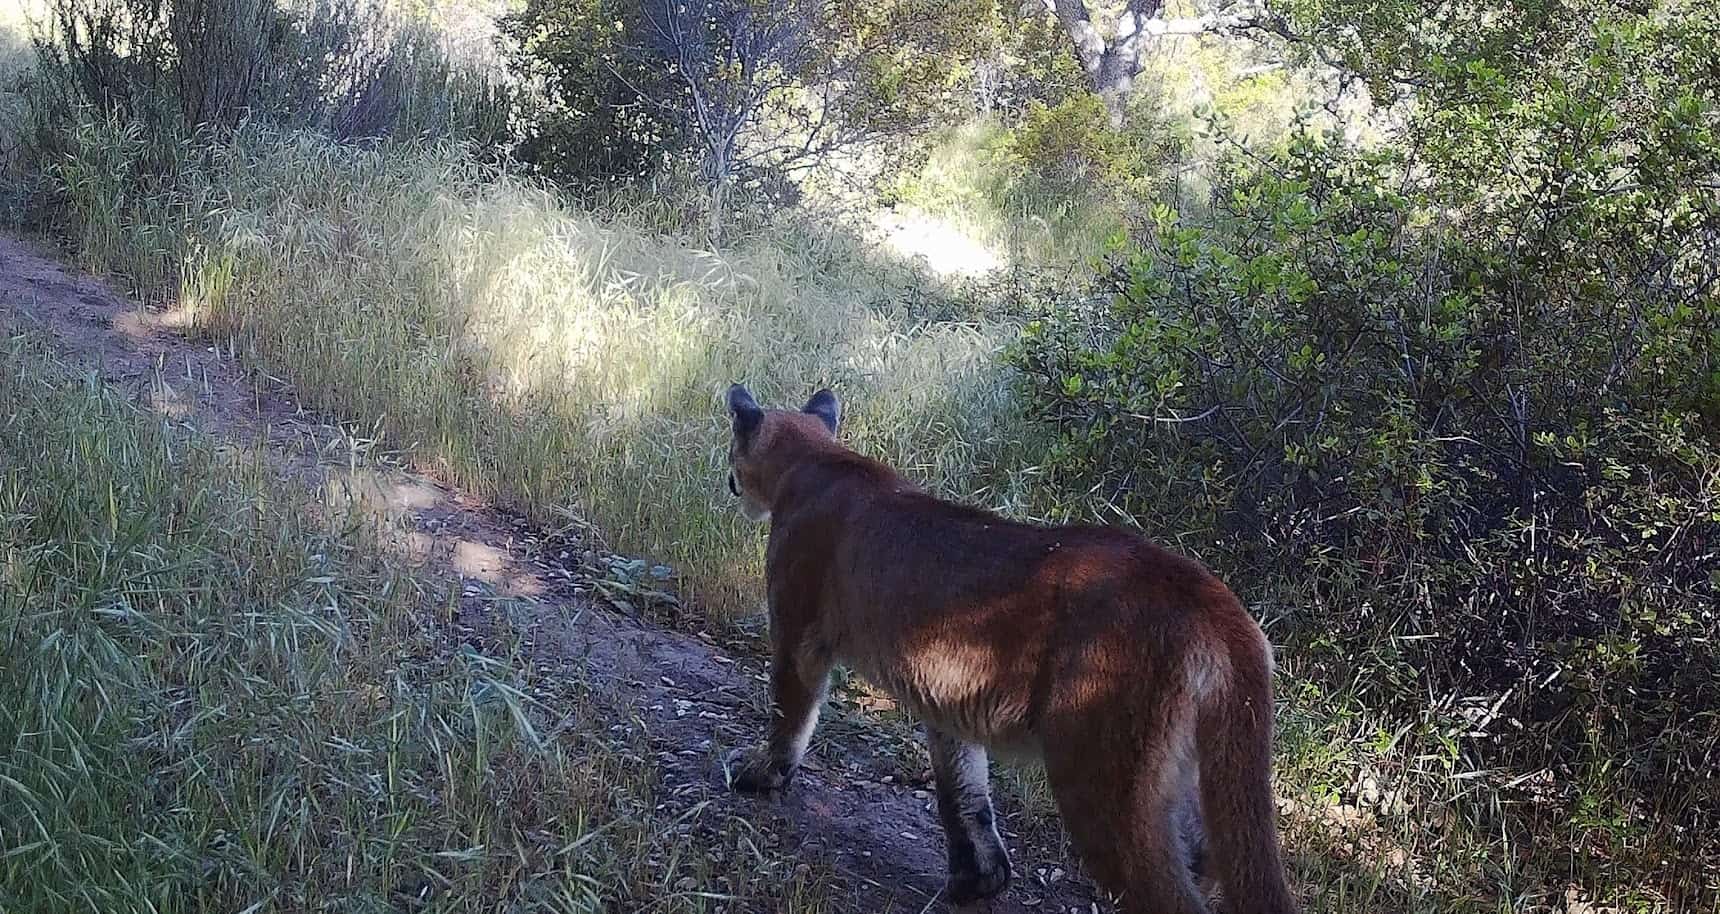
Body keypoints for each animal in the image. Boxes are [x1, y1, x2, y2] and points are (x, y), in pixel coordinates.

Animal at [721, 384, 1297, 914]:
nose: (727, 480)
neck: (817, 460)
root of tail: (1211, 595)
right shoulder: (946, 699)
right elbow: (963, 790)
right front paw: (979, 878)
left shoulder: (798, 634)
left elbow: (789, 712)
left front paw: (762, 774)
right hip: (1187, 773)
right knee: (1206, 854)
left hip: (1101, 778)